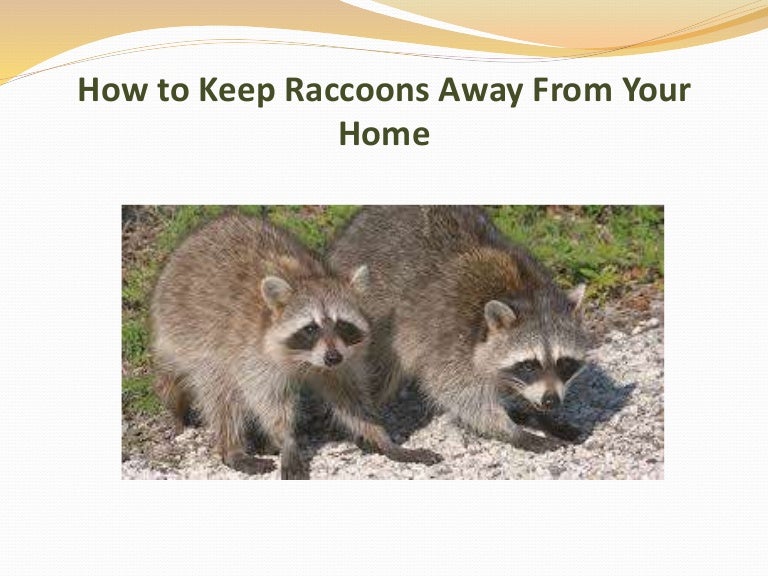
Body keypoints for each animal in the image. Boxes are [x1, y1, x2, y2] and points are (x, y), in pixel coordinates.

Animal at [150, 212, 440, 479]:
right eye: (310, 328)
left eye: (342, 325)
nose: (332, 357)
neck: (304, 359)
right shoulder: (251, 354)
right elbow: (268, 401)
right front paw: (286, 439)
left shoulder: (344, 358)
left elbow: (351, 398)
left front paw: (380, 436)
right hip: (189, 333)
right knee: (219, 391)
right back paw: (231, 447)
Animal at [329, 206, 589, 452]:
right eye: (529, 365)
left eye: (564, 363)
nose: (550, 401)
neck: (525, 292)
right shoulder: (450, 336)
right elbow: (460, 393)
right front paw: (512, 430)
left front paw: (533, 414)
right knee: (376, 372)